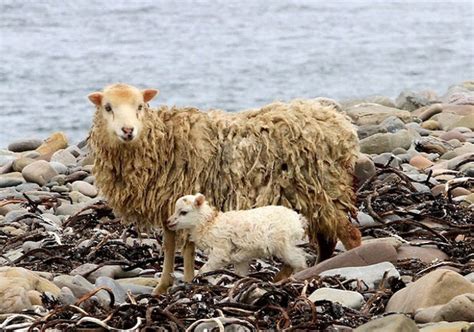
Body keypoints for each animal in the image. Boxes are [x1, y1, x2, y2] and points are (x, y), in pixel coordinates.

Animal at [168, 193, 310, 276]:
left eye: (183, 212)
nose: (168, 222)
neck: (209, 223)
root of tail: (298, 219)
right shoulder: (240, 258)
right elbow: (240, 274)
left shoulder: (220, 252)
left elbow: (204, 269)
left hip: (285, 246)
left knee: (300, 260)